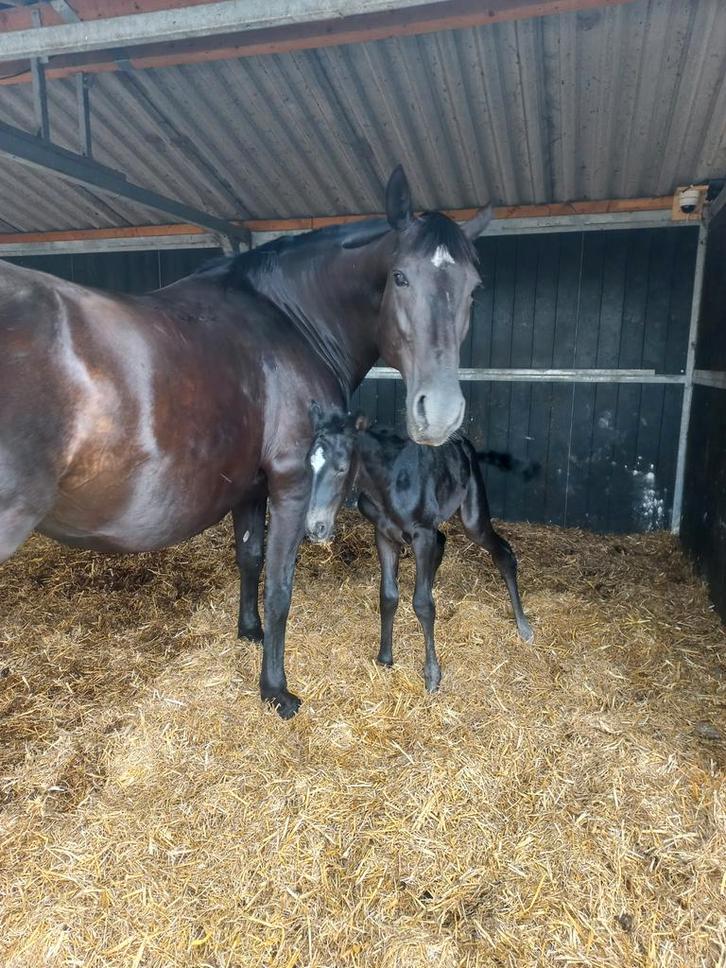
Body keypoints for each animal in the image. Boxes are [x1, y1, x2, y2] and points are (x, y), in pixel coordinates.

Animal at [0, 167, 492, 717]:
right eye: (400, 277)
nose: (441, 412)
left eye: (474, 290)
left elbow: (250, 559)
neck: (291, 321)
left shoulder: (250, 488)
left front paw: (249, 632)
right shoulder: (293, 483)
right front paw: (276, 689)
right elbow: (279, 586)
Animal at [304, 407, 533, 692]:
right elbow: (388, 596)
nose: (316, 527)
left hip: (473, 517)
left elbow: (423, 603)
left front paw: (432, 675)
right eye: (309, 465)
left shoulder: (422, 535)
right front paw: (385, 658)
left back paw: (523, 626)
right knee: (442, 542)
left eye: (341, 468)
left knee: (503, 553)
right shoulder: (384, 534)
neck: (388, 484)